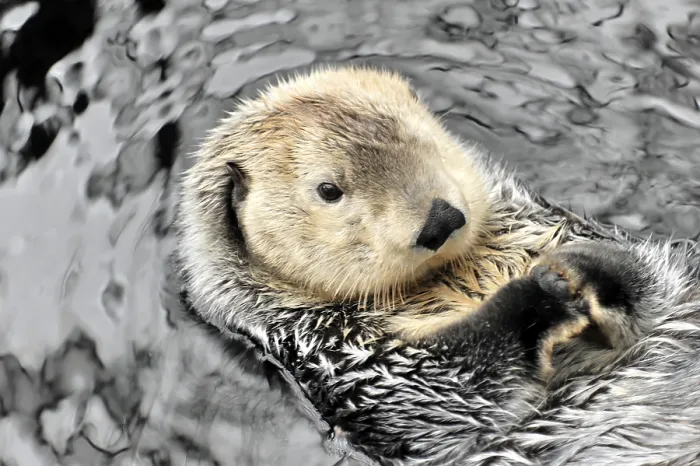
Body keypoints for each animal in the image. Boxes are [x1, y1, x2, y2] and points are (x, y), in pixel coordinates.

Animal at [174, 66, 700, 465]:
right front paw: (534, 297)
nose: (440, 220)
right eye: (328, 190)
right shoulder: (348, 363)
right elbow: (455, 389)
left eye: (416, 136)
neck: (454, 276)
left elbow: (651, 275)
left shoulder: (549, 224)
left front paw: (582, 265)